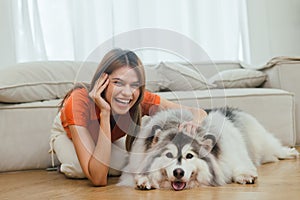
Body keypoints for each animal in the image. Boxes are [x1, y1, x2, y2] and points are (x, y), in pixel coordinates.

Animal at [118, 108, 298, 191]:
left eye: (190, 156)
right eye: (168, 155)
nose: (178, 172)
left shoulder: (233, 156)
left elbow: (239, 166)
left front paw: (245, 176)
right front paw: (145, 180)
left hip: (263, 144)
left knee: (276, 149)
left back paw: (291, 152)